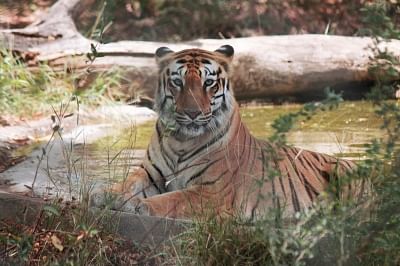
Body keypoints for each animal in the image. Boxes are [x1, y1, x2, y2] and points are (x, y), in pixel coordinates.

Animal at [92, 45, 364, 220]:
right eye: (178, 82)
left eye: (208, 83)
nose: (192, 113)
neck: (181, 140)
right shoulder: (151, 174)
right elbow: (128, 182)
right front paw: (105, 194)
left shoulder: (212, 191)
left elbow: (174, 199)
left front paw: (139, 205)